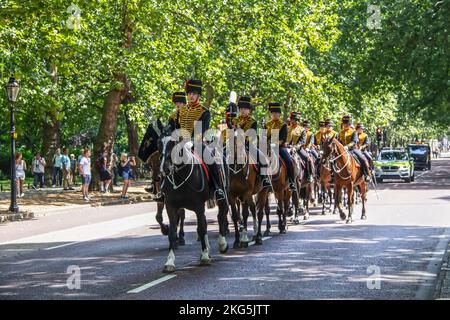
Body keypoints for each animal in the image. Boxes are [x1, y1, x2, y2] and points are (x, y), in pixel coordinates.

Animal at [158, 125, 229, 272]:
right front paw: (169, 262)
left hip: (223, 194)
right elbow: (172, 233)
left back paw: (222, 244)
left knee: (221, 215)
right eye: (158, 143)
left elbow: (201, 229)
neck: (180, 177)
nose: (164, 169)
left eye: (174, 143)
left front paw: (205, 257)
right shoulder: (170, 207)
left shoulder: (198, 205)